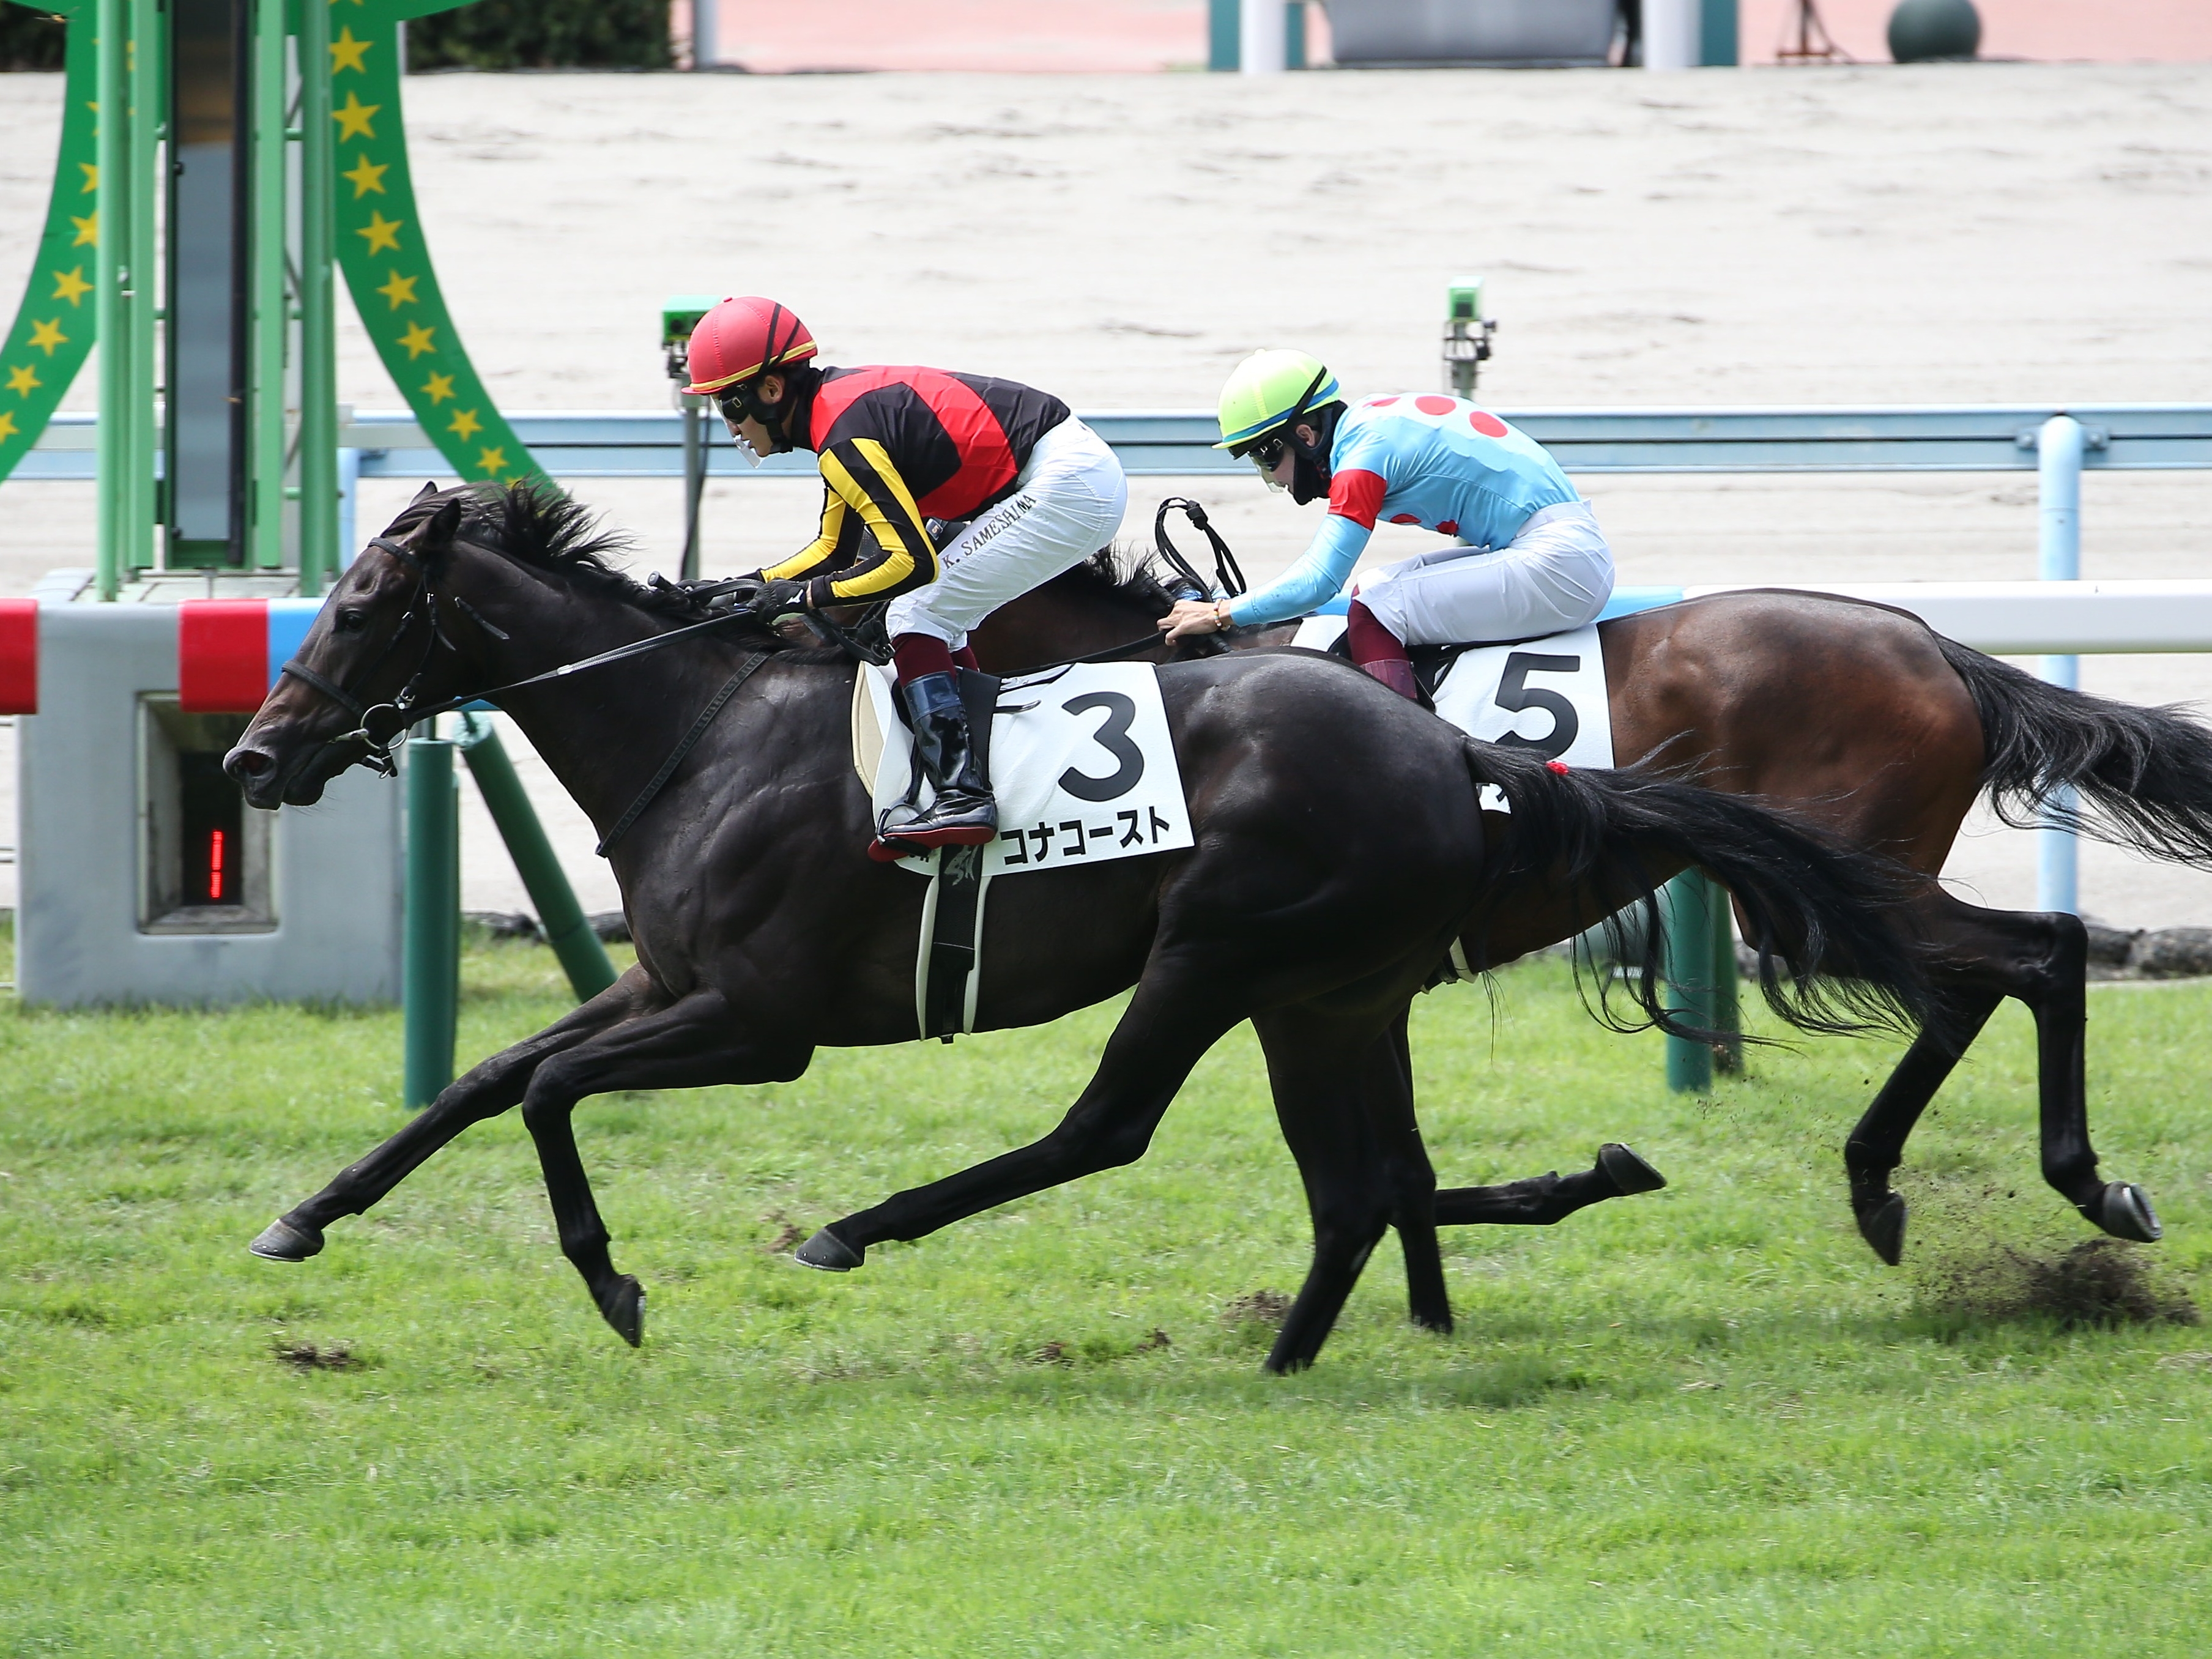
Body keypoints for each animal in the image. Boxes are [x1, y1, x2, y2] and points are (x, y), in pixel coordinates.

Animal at [233, 484, 1947, 1380]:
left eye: (363, 607)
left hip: (1217, 953)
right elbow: (484, 1079)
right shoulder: (667, 978)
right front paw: (304, 1215)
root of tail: (1461, 753)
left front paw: (609, 1281)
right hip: (1326, 991)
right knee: (1357, 1180)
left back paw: (862, 1225)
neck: (699, 729)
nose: (254, 756)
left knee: (1110, 1126)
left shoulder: (761, 1024)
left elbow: (541, 1090)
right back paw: (1303, 1344)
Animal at [964, 553, 2194, 1265]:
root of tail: (1935, 644)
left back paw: (2086, 1185)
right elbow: (1403, 1176)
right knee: (1975, 982)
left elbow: (1392, 1176)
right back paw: (1878, 1184)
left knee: (2043, 950)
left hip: (1825, 892)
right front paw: (1588, 1177)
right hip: (1844, 890)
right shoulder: (1359, 987)